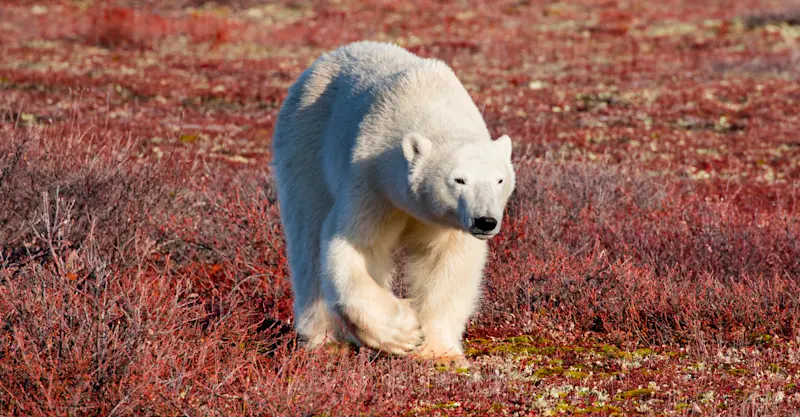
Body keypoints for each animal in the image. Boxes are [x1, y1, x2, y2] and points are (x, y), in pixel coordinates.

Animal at [271, 41, 515, 367]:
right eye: (459, 180)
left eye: (499, 180)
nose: (485, 221)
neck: (428, 102)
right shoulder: (373, 182)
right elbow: (358, 248)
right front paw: (403, 333)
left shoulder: (448, 223)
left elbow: (447, 264)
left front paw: (440, 353)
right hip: (305, 141)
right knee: (307, 236)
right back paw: (324, 341)